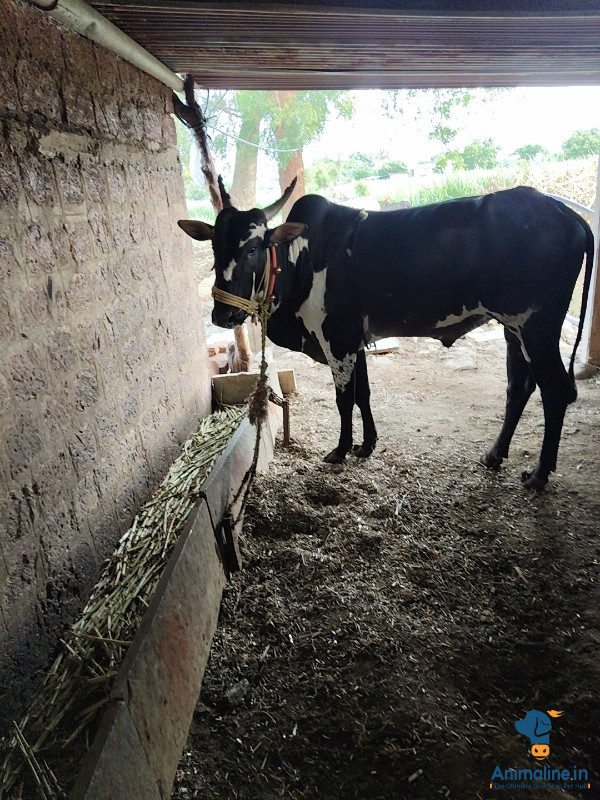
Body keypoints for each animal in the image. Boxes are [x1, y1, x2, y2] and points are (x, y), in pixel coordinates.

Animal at [178, 179, 594, 490]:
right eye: (214, 245)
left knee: (556, 390)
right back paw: (494, 456)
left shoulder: (337, 341)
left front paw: (340, 449)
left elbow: (344, 399)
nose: (223, 313)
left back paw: (539, 475)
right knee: (518, 388)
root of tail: (565, 213)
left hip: (537, 329)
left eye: (254, 247)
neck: (301, 259)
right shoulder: (354, 342)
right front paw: (366, 445)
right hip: (513, 330)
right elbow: (363, 393)